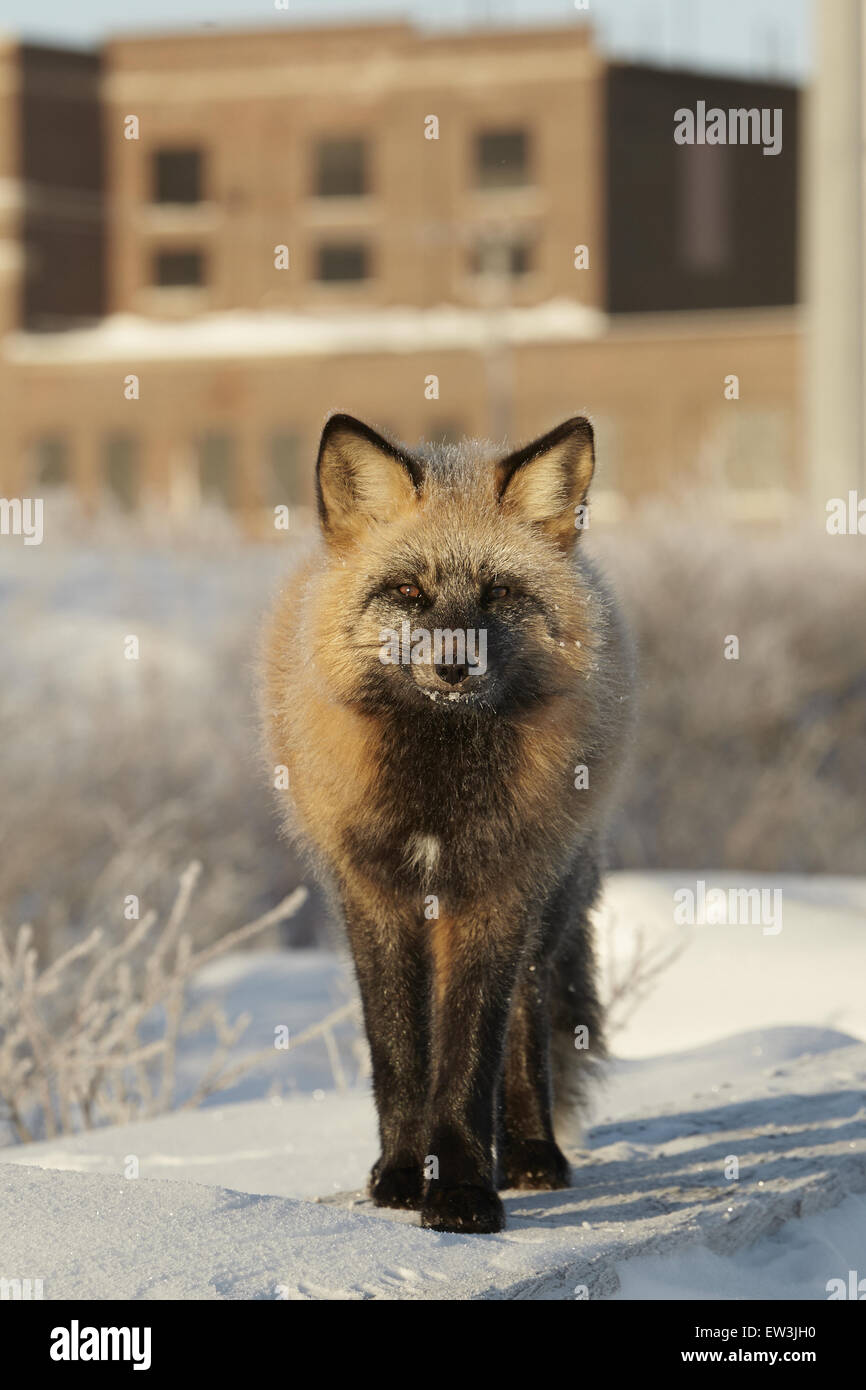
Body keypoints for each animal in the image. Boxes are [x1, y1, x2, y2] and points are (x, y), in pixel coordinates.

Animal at [261, 405, 633, 1234]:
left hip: (546, 911)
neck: (437, 789)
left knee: (525, 1033)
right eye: (408, 589)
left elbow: (468, 1061)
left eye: (496, 594)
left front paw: (463, 1189)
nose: (454, 666)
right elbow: (402, 1055)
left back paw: (529, 1153)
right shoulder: (375, 897)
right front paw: (405, 1174)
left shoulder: (496, 898)